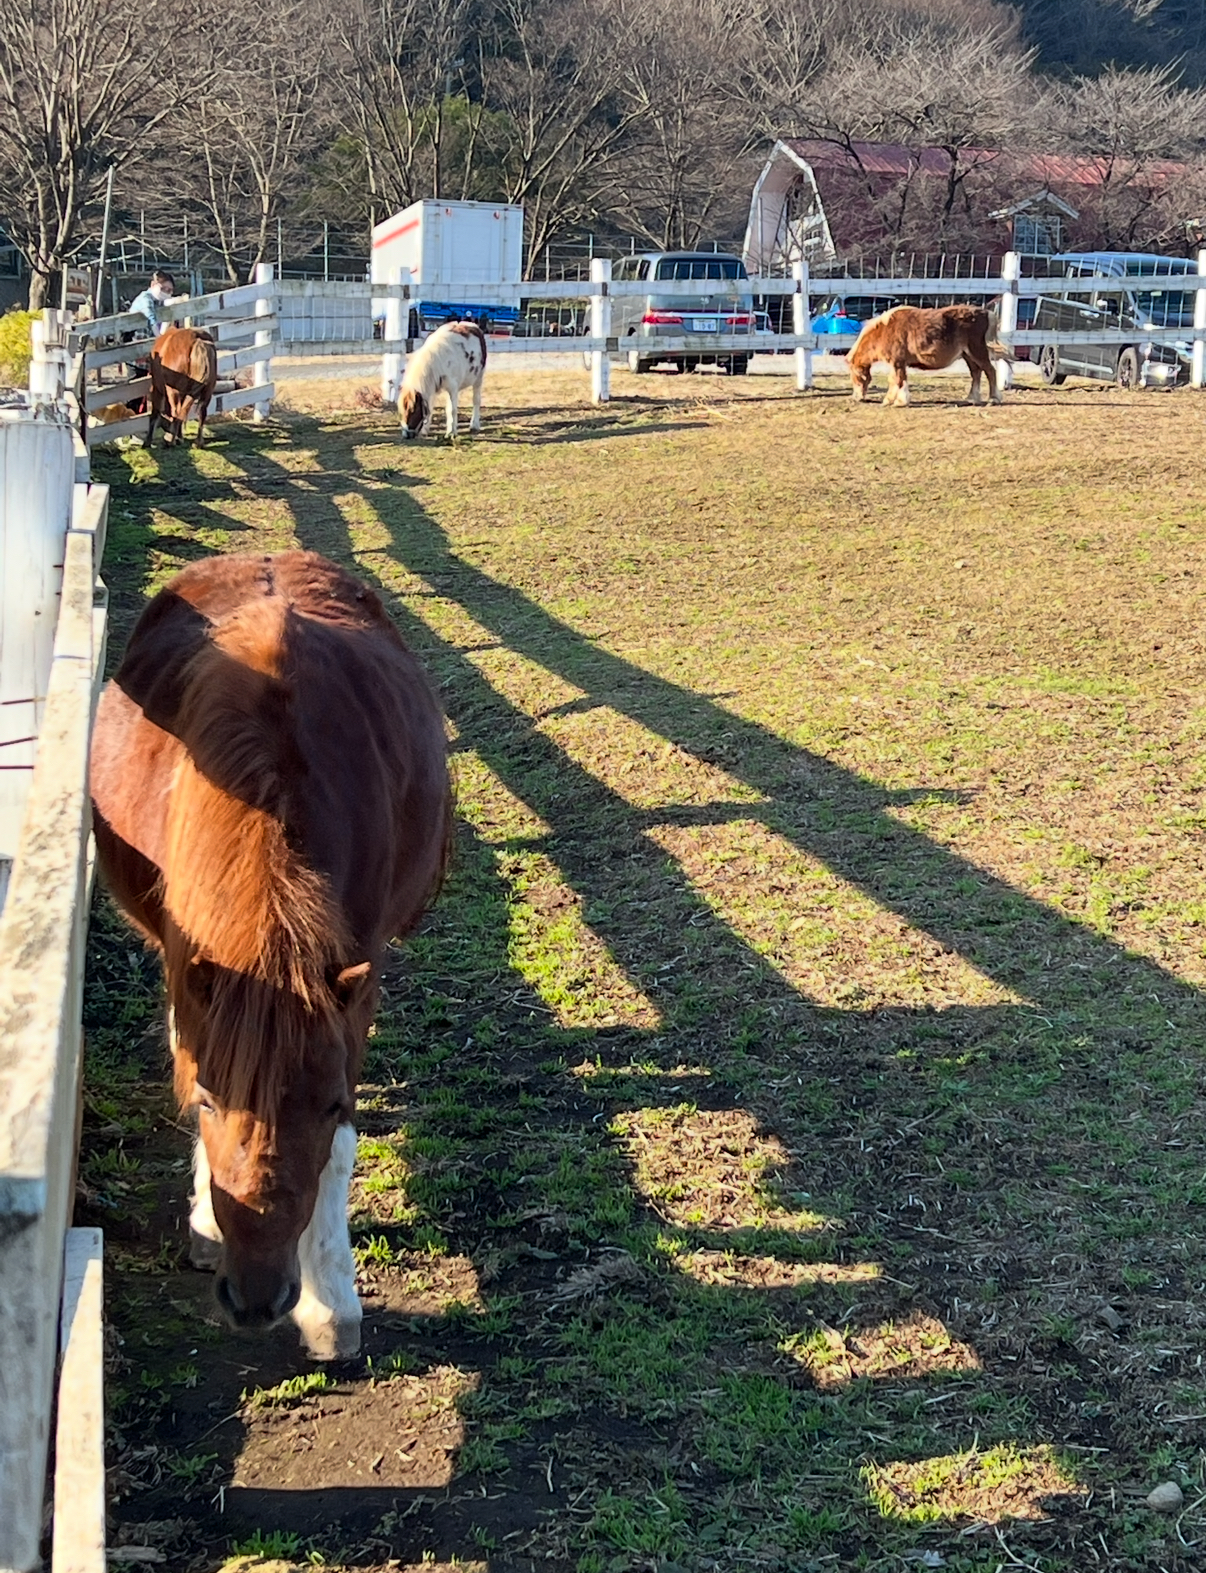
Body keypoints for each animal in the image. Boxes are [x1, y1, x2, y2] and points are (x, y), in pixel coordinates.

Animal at [89, 551, 452, 1358]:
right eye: (210, 1100)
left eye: (328, 1105)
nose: (257, 1299)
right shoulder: (191, 965)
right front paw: (207, 1219)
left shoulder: (357, 982)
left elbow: (341, 1151)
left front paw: (331, 1304)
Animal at [848, 304, 1010, 407]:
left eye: (855, 377)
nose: (857, 398)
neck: (884, 330)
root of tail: (987, 313)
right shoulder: (897, 363)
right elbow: (894, 380)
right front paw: (890, 400)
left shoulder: (898, 362)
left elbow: (898, 380)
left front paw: (899, 402)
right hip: (968, 355)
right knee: (976, 373)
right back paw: (972, 399)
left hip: (977, 351)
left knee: (990, 371)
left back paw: (994, 399)